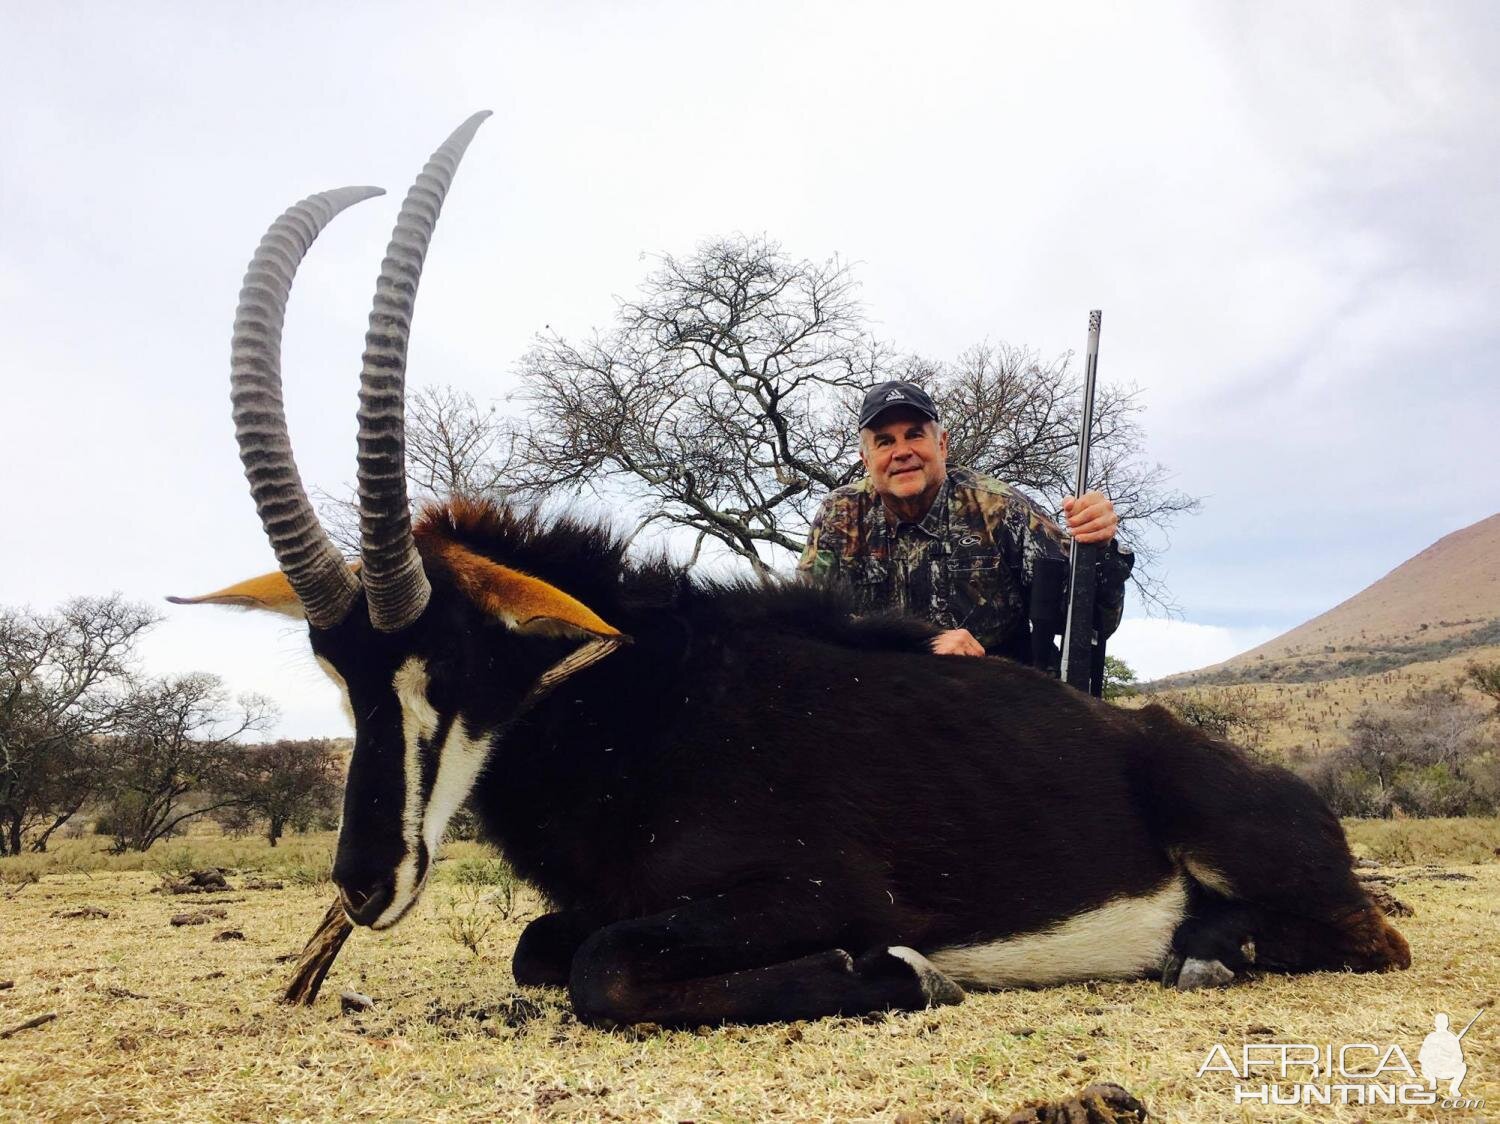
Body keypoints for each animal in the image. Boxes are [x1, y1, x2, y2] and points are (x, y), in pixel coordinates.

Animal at [175, 114, 1404, 1026]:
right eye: (336, 674)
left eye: (454, 660)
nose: (362, 882)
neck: (634, 697)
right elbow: (540, 946)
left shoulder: (816, 888)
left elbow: (604, 969)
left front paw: (902, 968)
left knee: (1376, 938)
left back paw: (1212, 948)